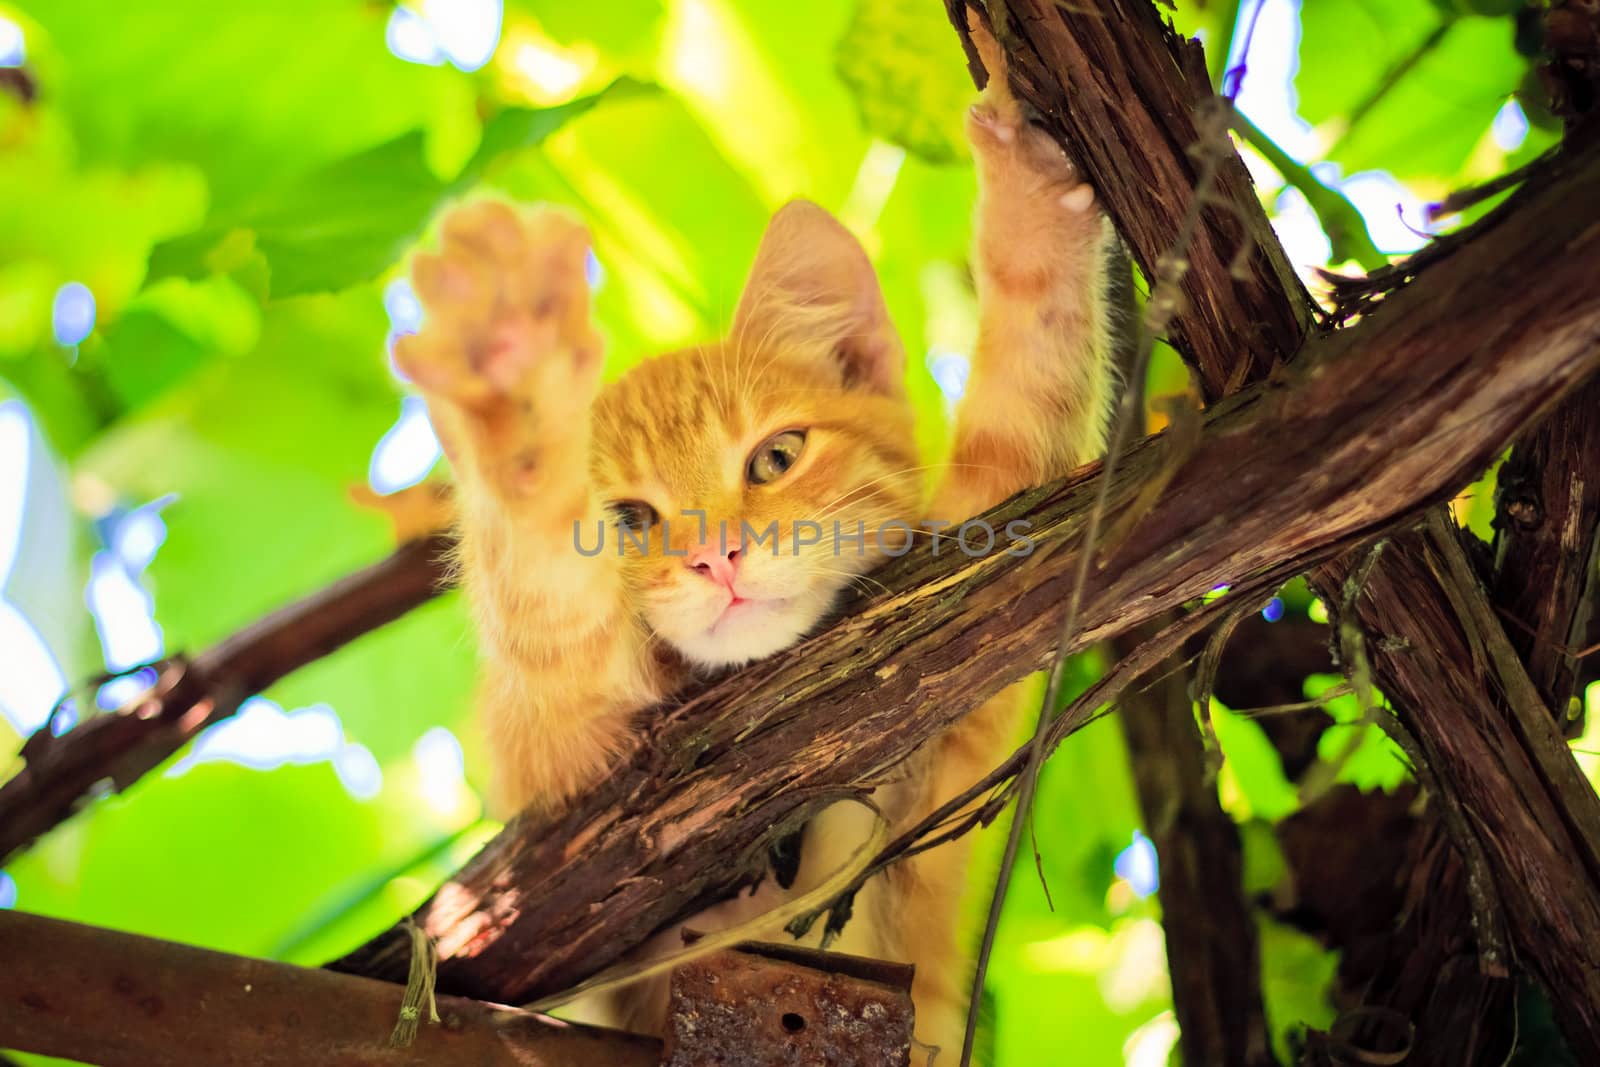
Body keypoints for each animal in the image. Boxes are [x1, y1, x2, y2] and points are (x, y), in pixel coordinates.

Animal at [396, 18, 1113, 1067]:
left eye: (775, 457)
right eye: (628, 520)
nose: (717, 558)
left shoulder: (978, 626)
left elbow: (1030, 388)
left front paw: (1026, 191)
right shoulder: (563, 761)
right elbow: (553, 623)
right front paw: (513, 403)